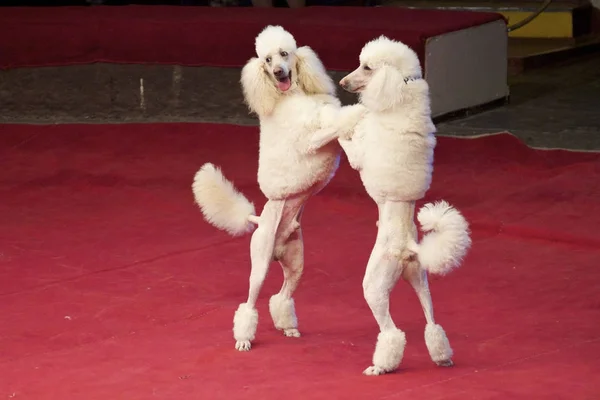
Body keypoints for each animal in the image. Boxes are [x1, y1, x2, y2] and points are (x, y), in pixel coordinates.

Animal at [310, 36, 474, 376]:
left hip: (374, 285)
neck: (400, 91)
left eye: (367, 67)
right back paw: (442, 356)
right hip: (420, 281)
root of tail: (408, 247)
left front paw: (335, 123)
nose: (343, 83)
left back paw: (381, 365)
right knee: (432, 323)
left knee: (391, 331)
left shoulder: (359, 155)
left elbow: (345, 132)